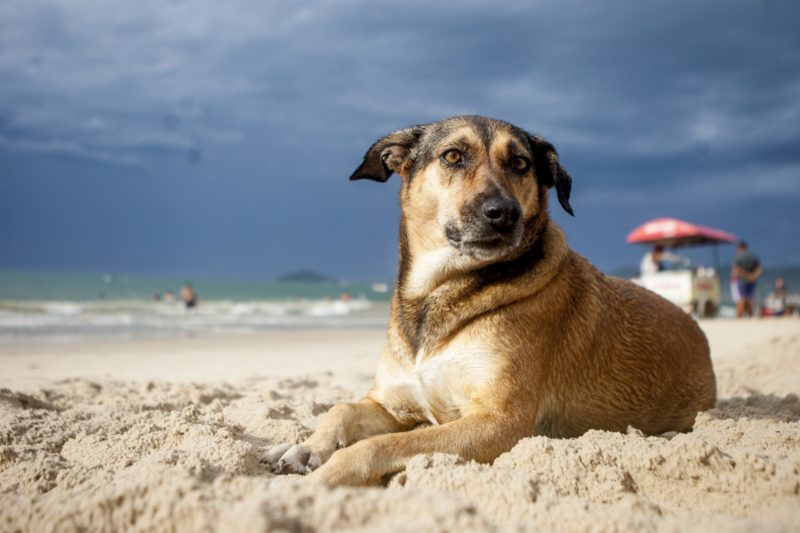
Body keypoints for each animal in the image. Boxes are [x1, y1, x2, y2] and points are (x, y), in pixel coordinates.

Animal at [266, 115, 716, 486]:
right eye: (453, 156)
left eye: (520, 164)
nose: (503, 213)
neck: (439, 291)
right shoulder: (393, 404)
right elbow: (340, 408)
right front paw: (306, 447)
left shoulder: (498, 422)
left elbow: (379, 445)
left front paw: (323, 477)